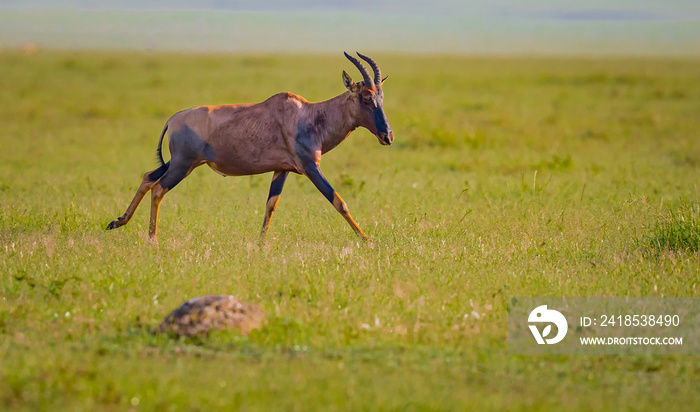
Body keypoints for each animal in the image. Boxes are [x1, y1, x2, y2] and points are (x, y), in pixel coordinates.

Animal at [108, 51, 394, 240]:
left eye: (381, 97)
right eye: (364, 98)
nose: (387, 136)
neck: (308, 115)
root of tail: (172, 119)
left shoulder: (282, 169)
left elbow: (271, 205)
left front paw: (260, 245)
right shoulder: (310, 167)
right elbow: (338, 200)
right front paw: (367, 239)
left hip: (178, 163)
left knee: (148, 176)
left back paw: (117, 222)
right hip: (182, 165)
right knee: (158, 188)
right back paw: (152, 240)